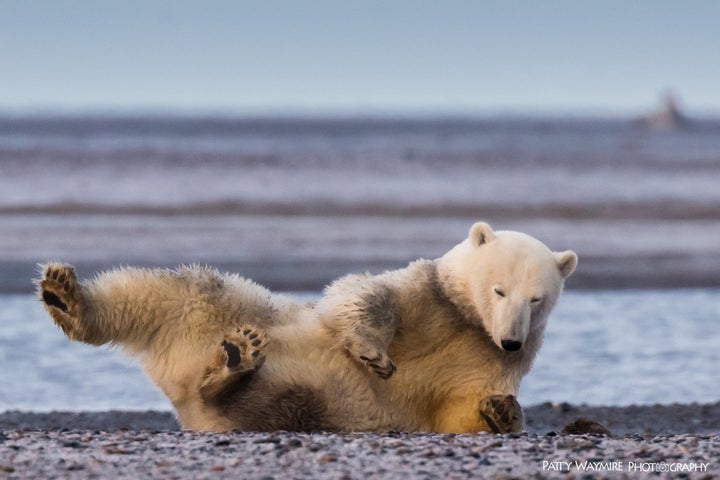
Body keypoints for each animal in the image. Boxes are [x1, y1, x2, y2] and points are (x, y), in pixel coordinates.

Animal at [38, 223, 580, 434]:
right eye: (499, 290)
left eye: (537, 297)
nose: (510, 337)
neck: (466, 321)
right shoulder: (427, 296)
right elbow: (363, 299)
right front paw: (373, 354)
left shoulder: (490, 357)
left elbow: (461, 405)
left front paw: (502, 410)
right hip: (222, 308)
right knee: (163, 290)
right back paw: (66, 295)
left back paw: (231, 369)